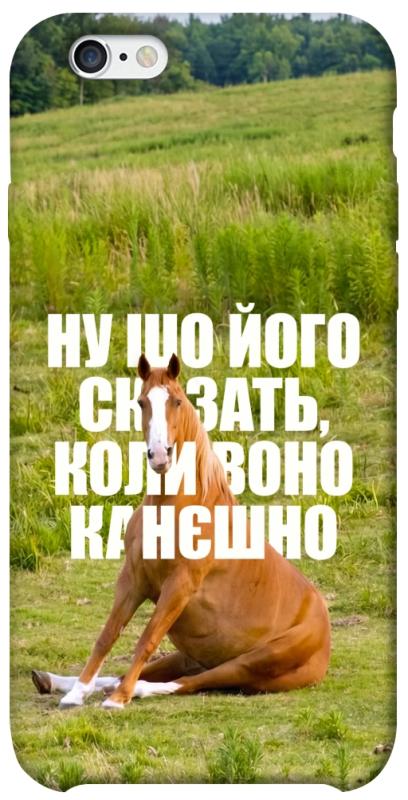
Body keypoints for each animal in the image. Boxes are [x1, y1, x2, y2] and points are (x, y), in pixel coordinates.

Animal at [32, 353, 330, 709]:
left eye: (176, 401)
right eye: (141, 401)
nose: (160, 456)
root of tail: (324, 633)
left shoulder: (179, 586)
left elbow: (146, 640)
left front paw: (118, 699)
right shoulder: (133, 578)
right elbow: (108, 635)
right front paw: (76, 693)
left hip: (251, 663)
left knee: (193, 682)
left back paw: (130, 690)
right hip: (191, 655)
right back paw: (54, 681)